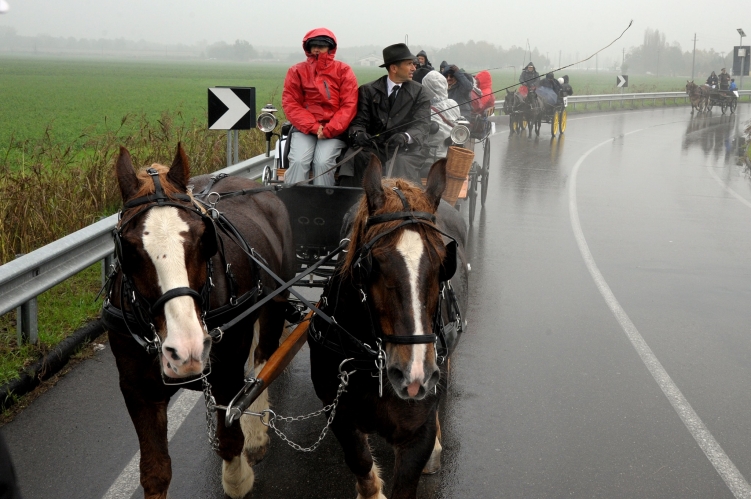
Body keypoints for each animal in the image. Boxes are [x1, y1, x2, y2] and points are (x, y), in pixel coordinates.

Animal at [104, 145, 296, 499]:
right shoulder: (136, 388)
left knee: (263, 362)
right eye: (130, 249)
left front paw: (238, 479)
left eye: (202, 238)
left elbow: (229, 440)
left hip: (275, 305)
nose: (186, 348)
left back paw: (257, 432)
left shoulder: (226, 372)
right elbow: (155, 471)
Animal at [308, 156, 468, 499]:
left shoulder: (416, 433)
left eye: (443, 263)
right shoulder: (338, 413)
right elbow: (360, 460)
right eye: (372, 264)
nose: (414, 374)